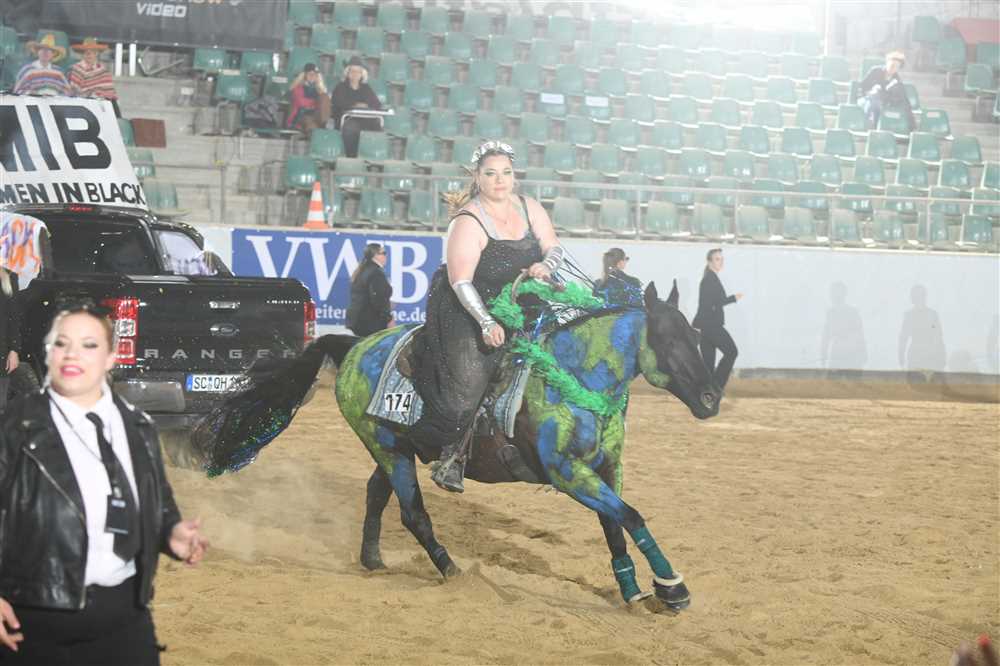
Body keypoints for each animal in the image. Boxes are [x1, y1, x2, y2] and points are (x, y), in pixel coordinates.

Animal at [195, 279, 721, 609]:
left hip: (394, 446)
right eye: (669, 337)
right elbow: (631, 516)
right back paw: (452, 572)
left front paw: (633, 591)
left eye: (696, 334)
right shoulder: (567, 473)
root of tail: (355, 347)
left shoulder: (605, 468)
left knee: (376, 493)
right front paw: (672, 589)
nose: (711, 399)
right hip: (389, 449)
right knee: (413, 514)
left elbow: (615, 522)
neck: (573, 378)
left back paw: (373, 560)